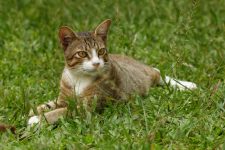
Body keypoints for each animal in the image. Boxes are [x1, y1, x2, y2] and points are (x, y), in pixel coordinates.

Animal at [28, 19, 197, 125]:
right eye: (82, 54)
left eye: (101, 51)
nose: (96, 63)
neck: (79, 77)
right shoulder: (64, 96)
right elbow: (52, 104)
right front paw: (36, 110)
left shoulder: (89, 105)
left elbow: (63, 111)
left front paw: (38, 119)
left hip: (145, 75)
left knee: (157, 72)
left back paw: (185, 85)